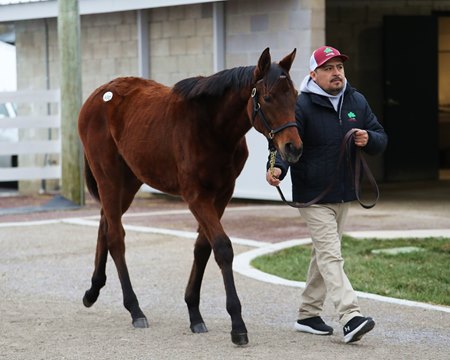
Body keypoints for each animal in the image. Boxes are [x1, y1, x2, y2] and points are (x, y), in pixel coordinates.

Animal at [77, 46, 302, 344]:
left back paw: (93, 290)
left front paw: (194, 313)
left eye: (295, 95)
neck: (211, 127)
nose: (293, 148)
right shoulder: (196, 196)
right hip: (109, 177)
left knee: (104, 222)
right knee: (115, 236)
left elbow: (202, 247)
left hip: (130, 181)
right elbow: (222, 247)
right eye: (267, 98)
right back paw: (134, 309)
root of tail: (99, 94)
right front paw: (237, 325)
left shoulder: (222, 194)